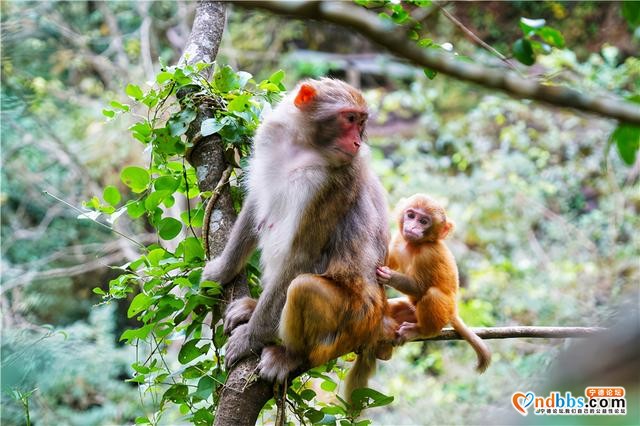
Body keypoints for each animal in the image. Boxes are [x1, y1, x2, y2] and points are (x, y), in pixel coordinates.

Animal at [378, 194, 492, 372]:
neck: (413, 245)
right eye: (411, 215)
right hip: (413, 311)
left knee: (433, 294)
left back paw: (422, 332)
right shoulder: (399, 240)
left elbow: (419, 288)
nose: (413, 227)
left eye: (423, 221)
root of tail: (453, 311)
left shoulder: (429, 254)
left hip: (444, 313)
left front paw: (389, 276)